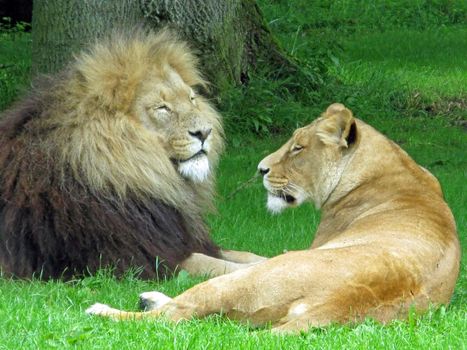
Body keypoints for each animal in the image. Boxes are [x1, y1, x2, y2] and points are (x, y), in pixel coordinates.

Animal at [0, 30, 264, 282]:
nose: (205, 132)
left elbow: (246, 254)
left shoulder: (184, 240)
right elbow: (221, 266)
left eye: (191, 99)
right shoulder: (139, 258)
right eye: (162, 108)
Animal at [86, 104, 458, 334]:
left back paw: (107, 309)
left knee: (174, 315)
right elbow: (250, 254)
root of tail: (340, 304)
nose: (261, 168)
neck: (394, 168)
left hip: (256, 281)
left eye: (298, 148)